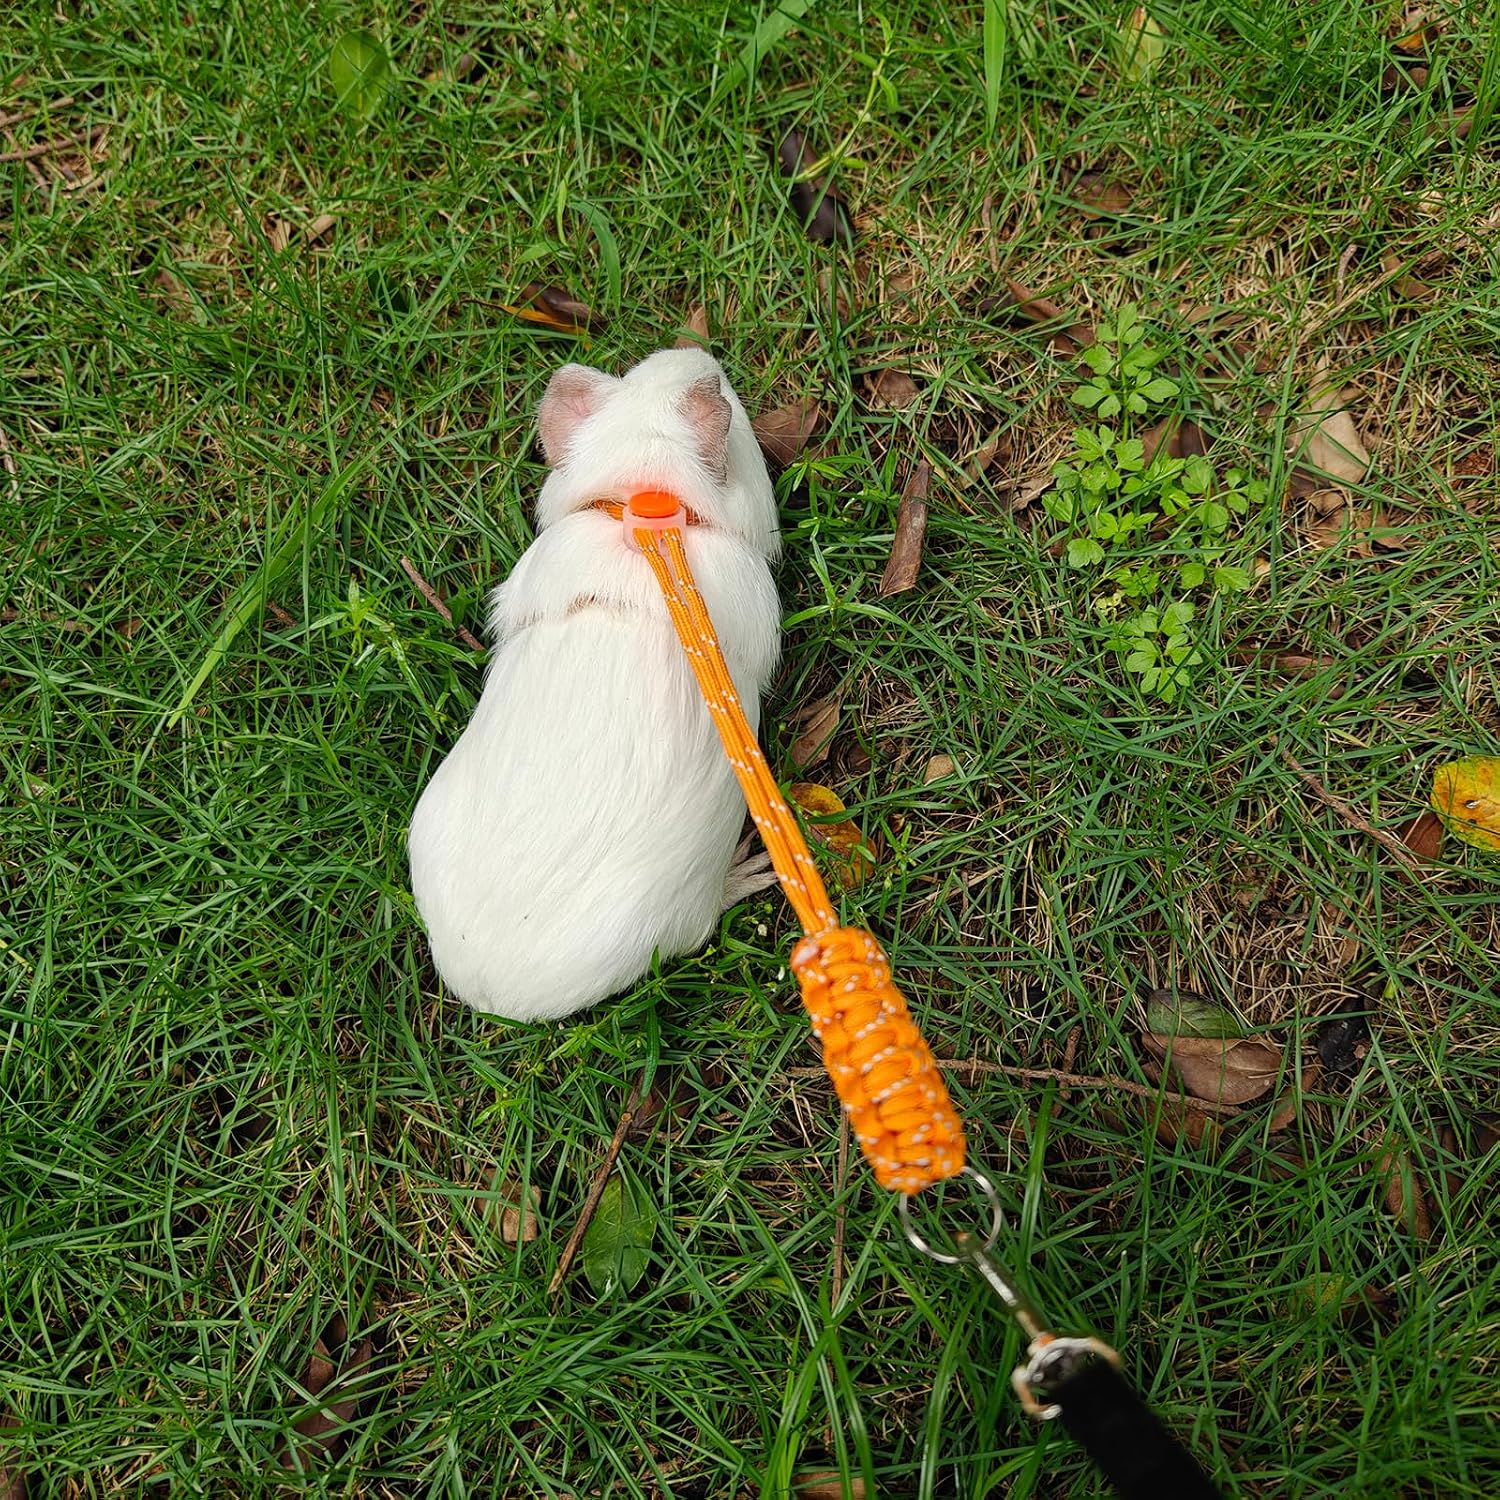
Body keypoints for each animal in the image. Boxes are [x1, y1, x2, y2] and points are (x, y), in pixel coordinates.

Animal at [407, 347, 783, 1022]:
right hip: (688, 914)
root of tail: (495, 992)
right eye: (730, 406)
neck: (642, 504)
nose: (698, 352)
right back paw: (754, 870)